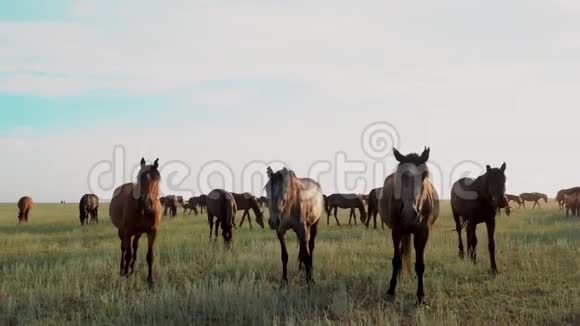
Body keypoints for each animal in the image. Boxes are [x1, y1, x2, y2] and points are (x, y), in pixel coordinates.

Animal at [109, 159, 162, 288]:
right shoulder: (128, 232)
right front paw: (125, 275)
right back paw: (123, 269)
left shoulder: (152, 232)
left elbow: (150, 256)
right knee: (124, 249)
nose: (145, 203)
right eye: (139, 177)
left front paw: (150, 280)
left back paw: (132, 268)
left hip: (137, 233)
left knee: (135, 246)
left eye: (156, 179)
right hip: (123, 232)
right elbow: (128, 254)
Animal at [376, 148, 440, 306]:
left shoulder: (423, 233)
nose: (410, 213)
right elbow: (396, 260)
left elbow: (420, 265)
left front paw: (421, 296)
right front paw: (391, 290)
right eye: (401, 175)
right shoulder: (396, 231)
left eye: (424, 175)